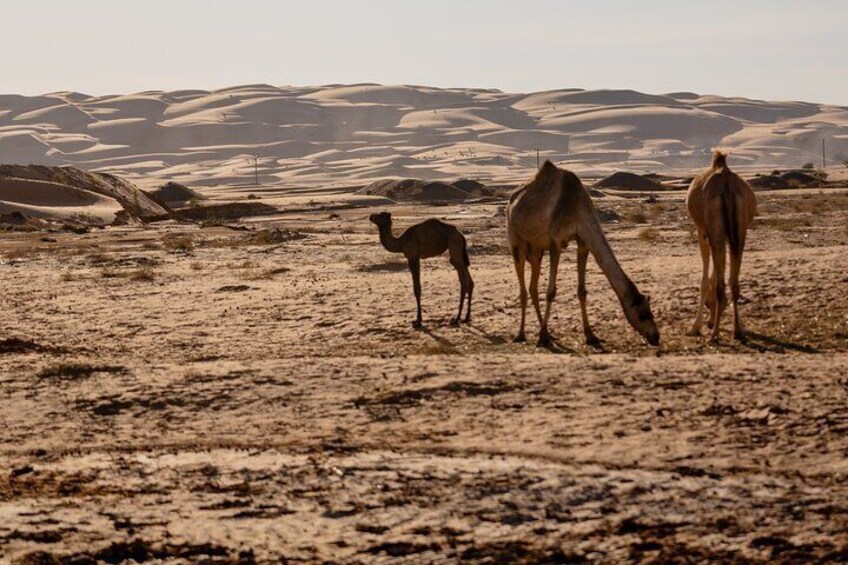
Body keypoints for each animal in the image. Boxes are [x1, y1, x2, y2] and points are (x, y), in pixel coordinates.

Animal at [506, 159, 660, 346]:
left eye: (651, 312)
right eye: (642, 314)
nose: (655, 337)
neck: (578, 209)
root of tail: (512, 200)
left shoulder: (583, 242)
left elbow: (582, 291)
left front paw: (590, 335)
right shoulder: (555, 242)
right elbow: (551, 292)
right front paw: (541, 336)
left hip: (536, 248)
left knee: (533, 287)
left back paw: (548, 333)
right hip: (516, 239)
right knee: (523, 286)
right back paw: (521, 334)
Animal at [684, 150, 760, 342]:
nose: (710, 322)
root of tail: (726, 186)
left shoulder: (702, 232)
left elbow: (705, 281)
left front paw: (695, 327)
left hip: (715, 232)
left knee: (720, 285)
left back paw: (714, 334)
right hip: (739, 233)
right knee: (734, 282)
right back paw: (738, 330)